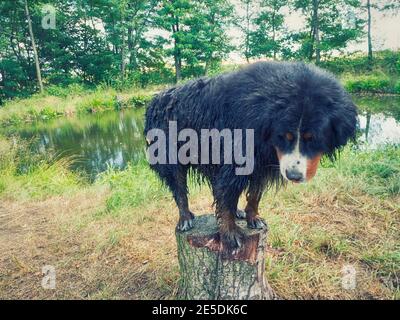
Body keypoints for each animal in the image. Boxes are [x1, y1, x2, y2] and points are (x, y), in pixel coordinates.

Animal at [144, 61, 356, 254]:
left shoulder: (264, 160)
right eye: (284, 136)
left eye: (313, 138)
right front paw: (230, 234)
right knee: (178, 185)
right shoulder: (236, 154)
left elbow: (255, 192)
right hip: (169, 152)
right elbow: (227, 194)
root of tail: (154, 99)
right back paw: (185, 218)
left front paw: (252, 217)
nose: (293, 176)